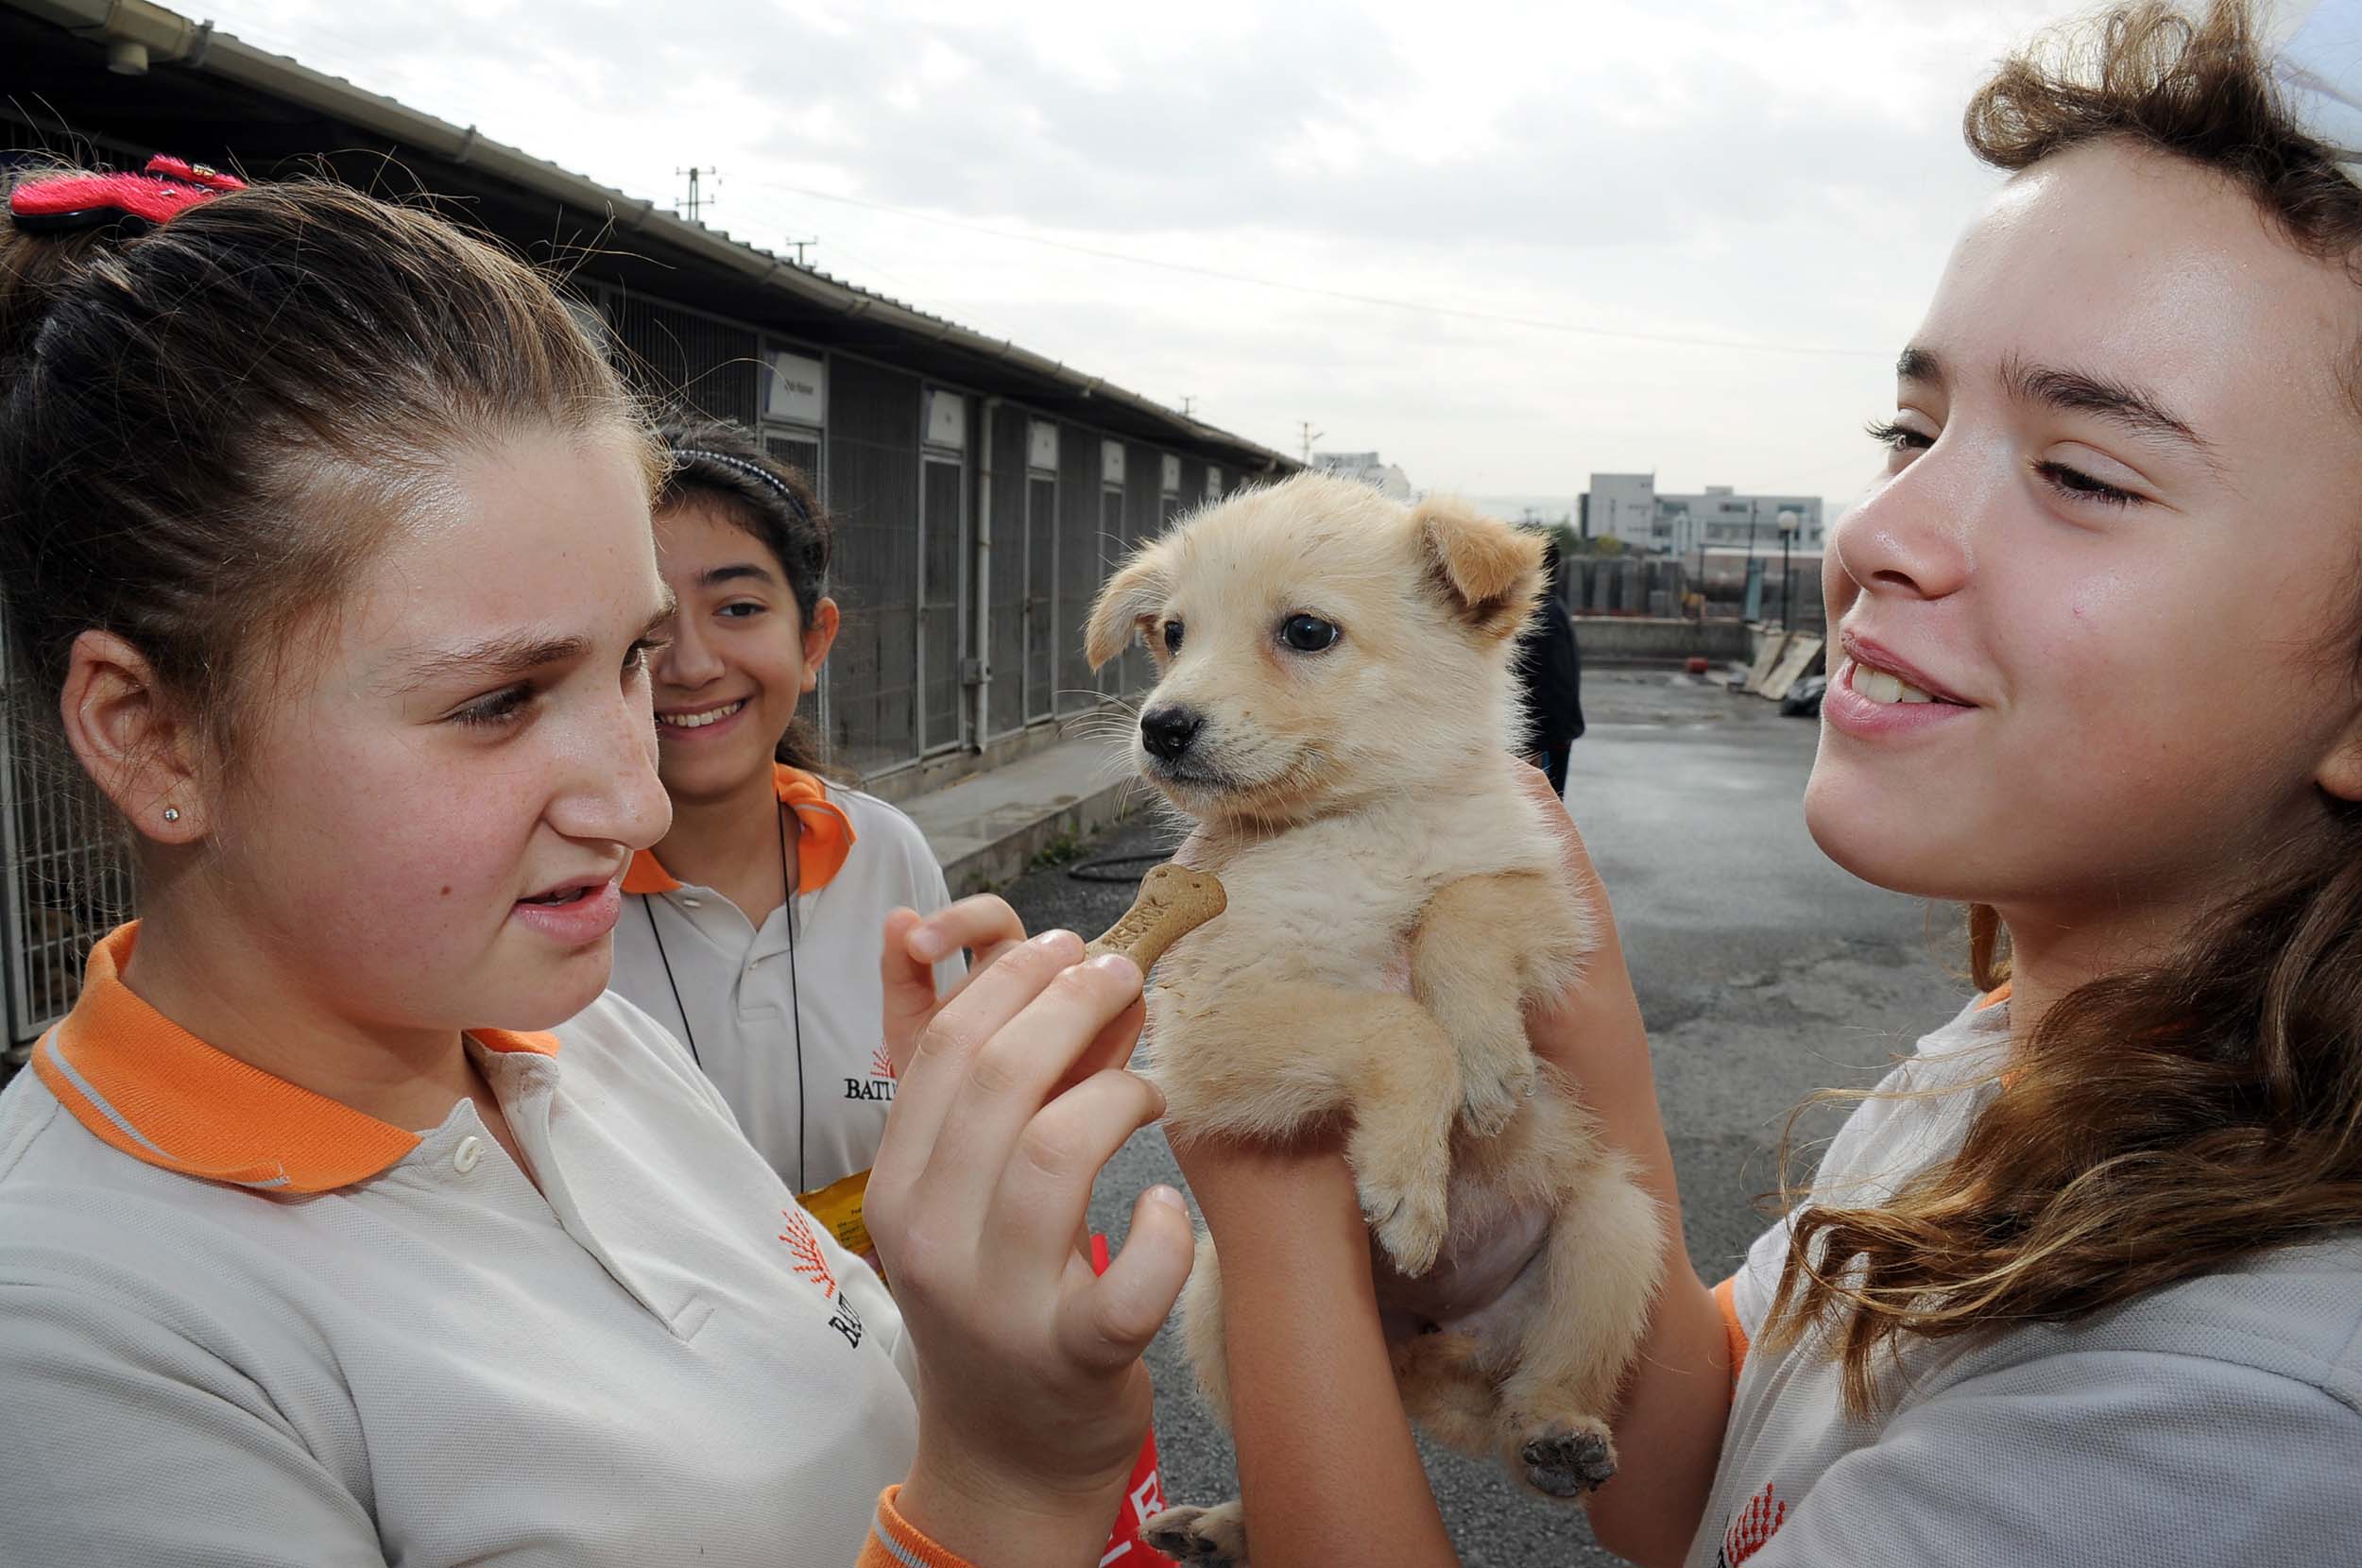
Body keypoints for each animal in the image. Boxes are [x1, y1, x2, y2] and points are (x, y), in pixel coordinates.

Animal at [1082, 472, 1663, 1559]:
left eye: (1306, 631)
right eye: (1172, 633)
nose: (1160, 726)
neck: (1358, 826)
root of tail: (1439, 1347)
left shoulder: (1551, 902)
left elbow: (1461, 907)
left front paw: (1488, 1059)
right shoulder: (1211, 1031)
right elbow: (1396, 1028)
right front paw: (1410, 1179)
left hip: (1616, 1230)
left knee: (1538, 1391)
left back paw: (1558, 1435)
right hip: (1217, 1297)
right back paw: (1223, 1525)